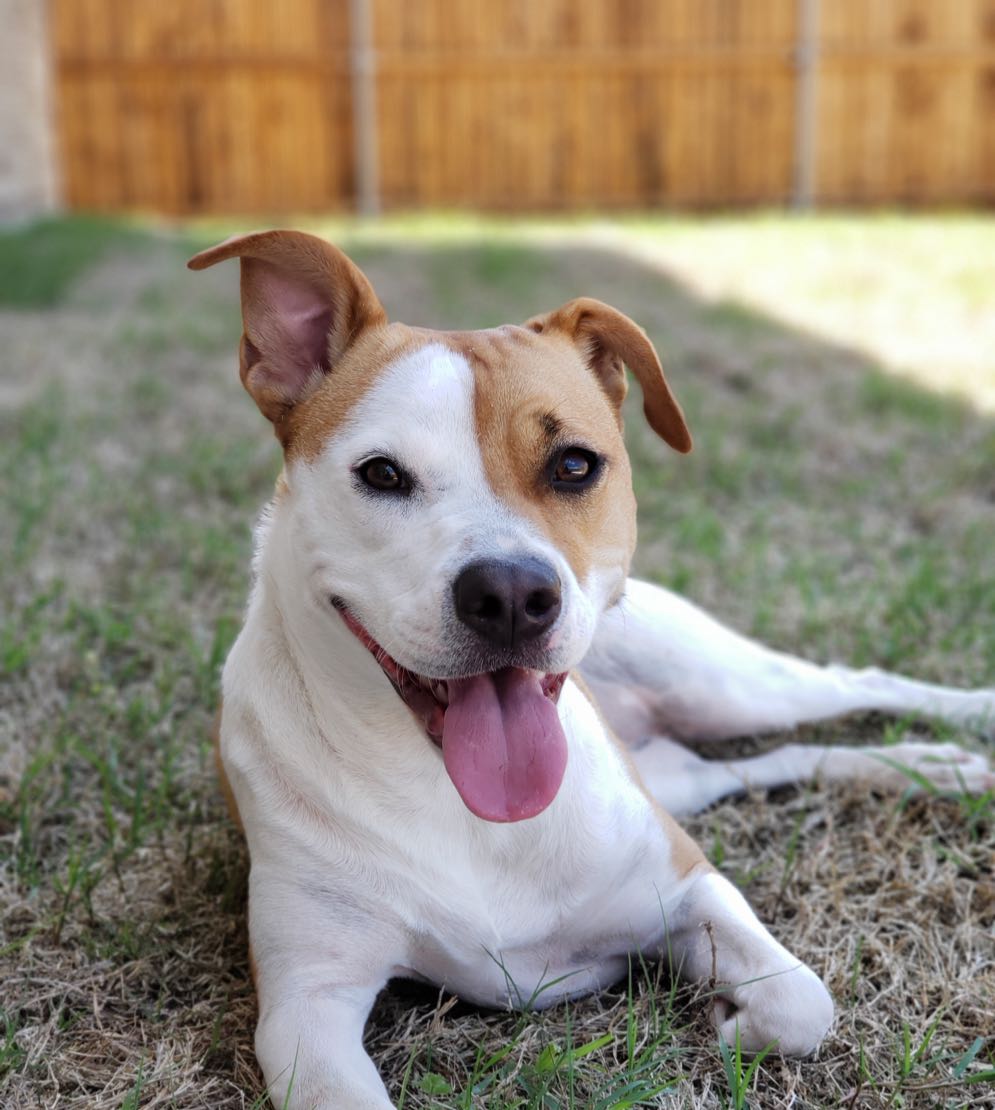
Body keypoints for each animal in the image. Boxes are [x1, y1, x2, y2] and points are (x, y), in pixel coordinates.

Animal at [188, 231, 995, 1110]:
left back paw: (958, 738)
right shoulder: (307, 1007)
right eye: (382, 474)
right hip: (683, 771)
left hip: (721, 691)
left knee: (855, 685)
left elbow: (800, 1002)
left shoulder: (686, 885)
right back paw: (932, 769)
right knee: (771, 761)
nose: (510, 595)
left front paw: (736, 1022)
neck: (459, 802)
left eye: (574, 465)